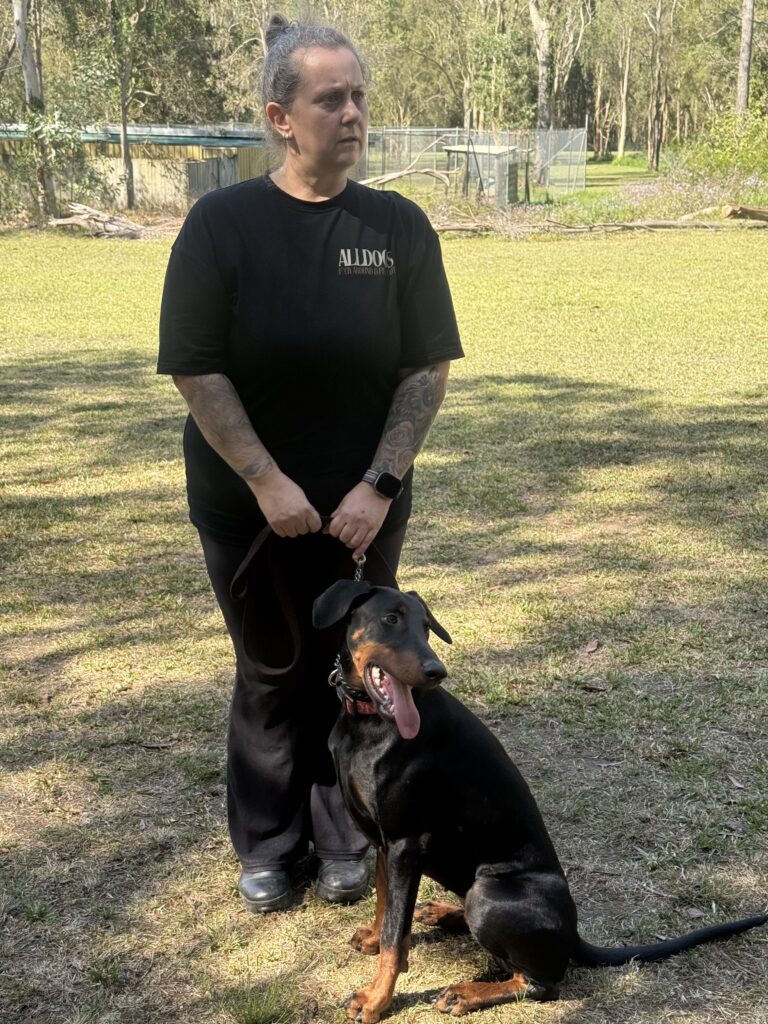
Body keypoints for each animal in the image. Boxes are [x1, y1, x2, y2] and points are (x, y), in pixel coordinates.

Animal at [313, 580, 767, 1022]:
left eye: (426, 628)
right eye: (391, 619)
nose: (435, 671)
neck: (367, 722)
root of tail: (575, 933)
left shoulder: (407, 843)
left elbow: (397, 936)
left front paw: (375, 1000)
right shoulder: (383, 841)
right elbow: (386, 905)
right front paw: (374, 939)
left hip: (488, 894)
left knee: (541, 983)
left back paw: (467, 992)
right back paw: (442, 913)